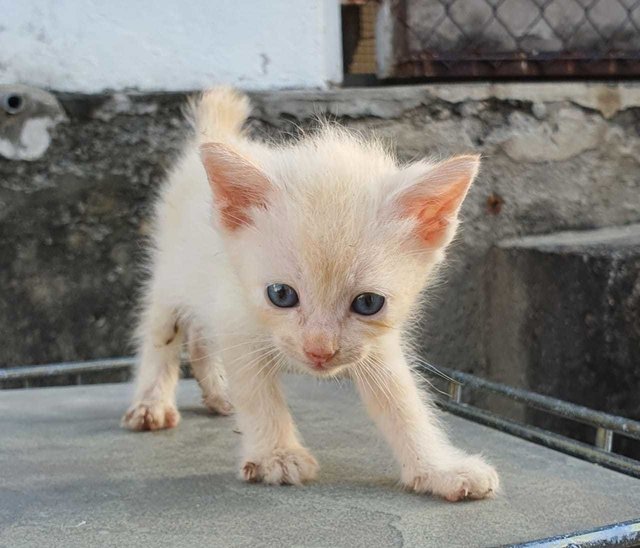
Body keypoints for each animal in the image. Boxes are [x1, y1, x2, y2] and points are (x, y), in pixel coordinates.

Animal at [121, 88, 500, 504]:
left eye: (368, 303)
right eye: (281, 295)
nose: (320, 351)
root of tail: (213, 136)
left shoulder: (375, 344)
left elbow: (402, 402)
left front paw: (439, 468)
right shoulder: (237, 317)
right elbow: (257, 393)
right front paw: (277, 456)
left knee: (201, 337)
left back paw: (218, 393)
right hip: (171, 272)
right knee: (161, 331)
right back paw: (152, 402)